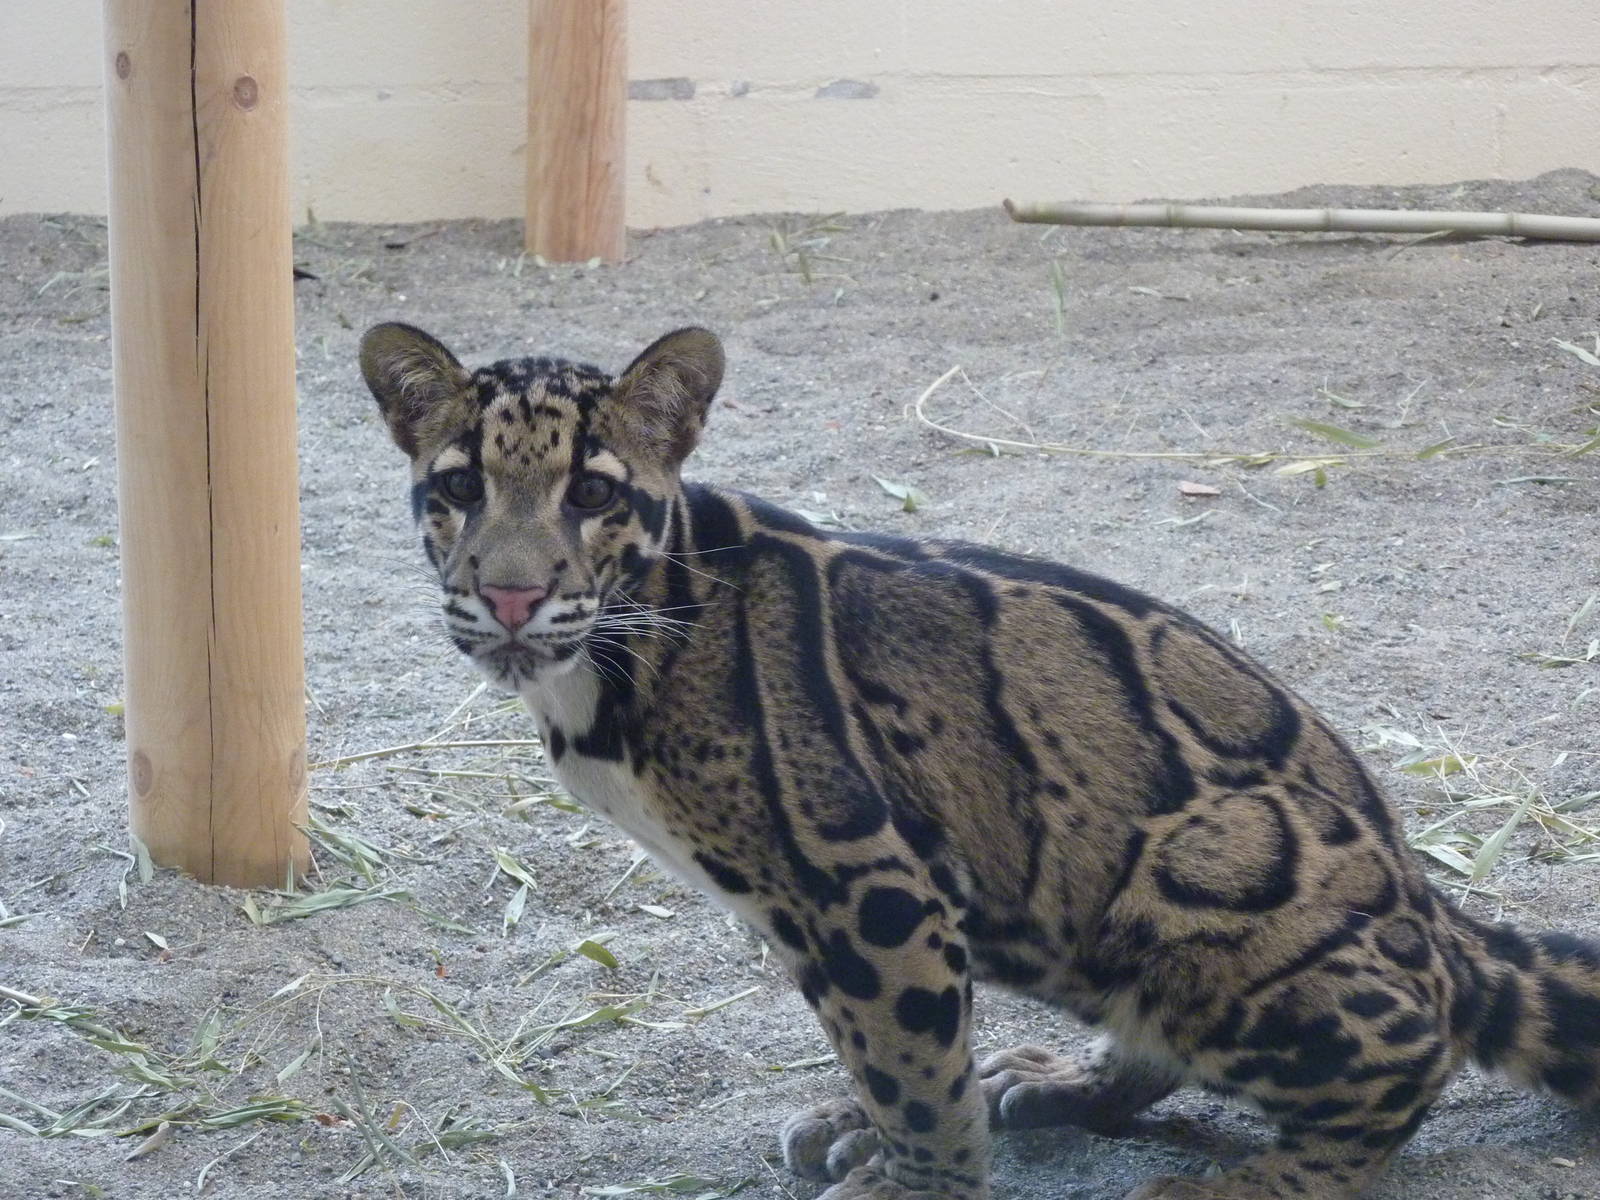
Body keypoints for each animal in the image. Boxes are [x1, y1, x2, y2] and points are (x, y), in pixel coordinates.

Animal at [359, 319, 1600, 1200]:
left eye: (593, 492)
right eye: (460, 486)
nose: (510, 594)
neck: (606, 658)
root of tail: (1430, 903)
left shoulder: (863, 881)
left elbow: (912, 1069)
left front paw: (916, 1182)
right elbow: (885, 1054)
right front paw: (869, 1128)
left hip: (1197, 874)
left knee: (1409, 1057)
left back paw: (1248, 1184)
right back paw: (1056, 1081)